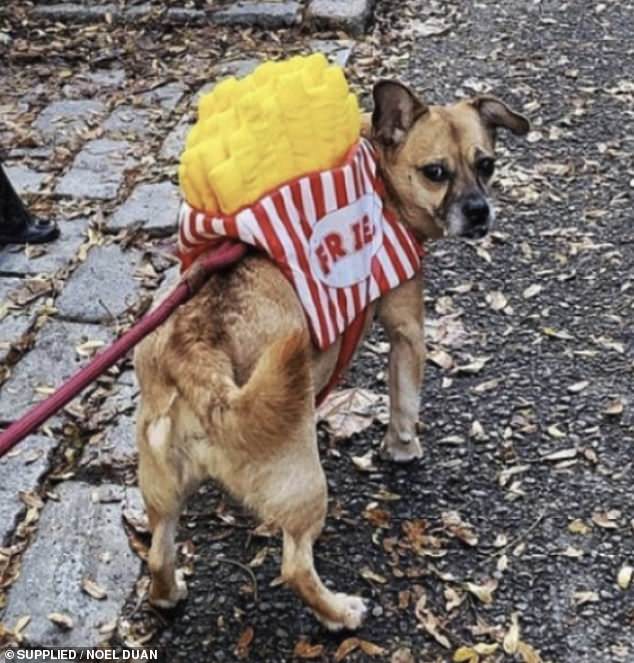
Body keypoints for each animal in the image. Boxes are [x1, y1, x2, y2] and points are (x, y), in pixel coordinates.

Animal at [135, 80, 528, 632]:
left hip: (162, 496)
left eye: (486, 164)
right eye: (436, 173)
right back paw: (340, 612)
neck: (380, 179)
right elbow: (404, 403)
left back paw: (169, 595)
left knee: (158, 554)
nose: (479, 211)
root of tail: (195, 354)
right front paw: (403, 449)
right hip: (305, 486)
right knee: (295, 567)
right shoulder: (407, 331)